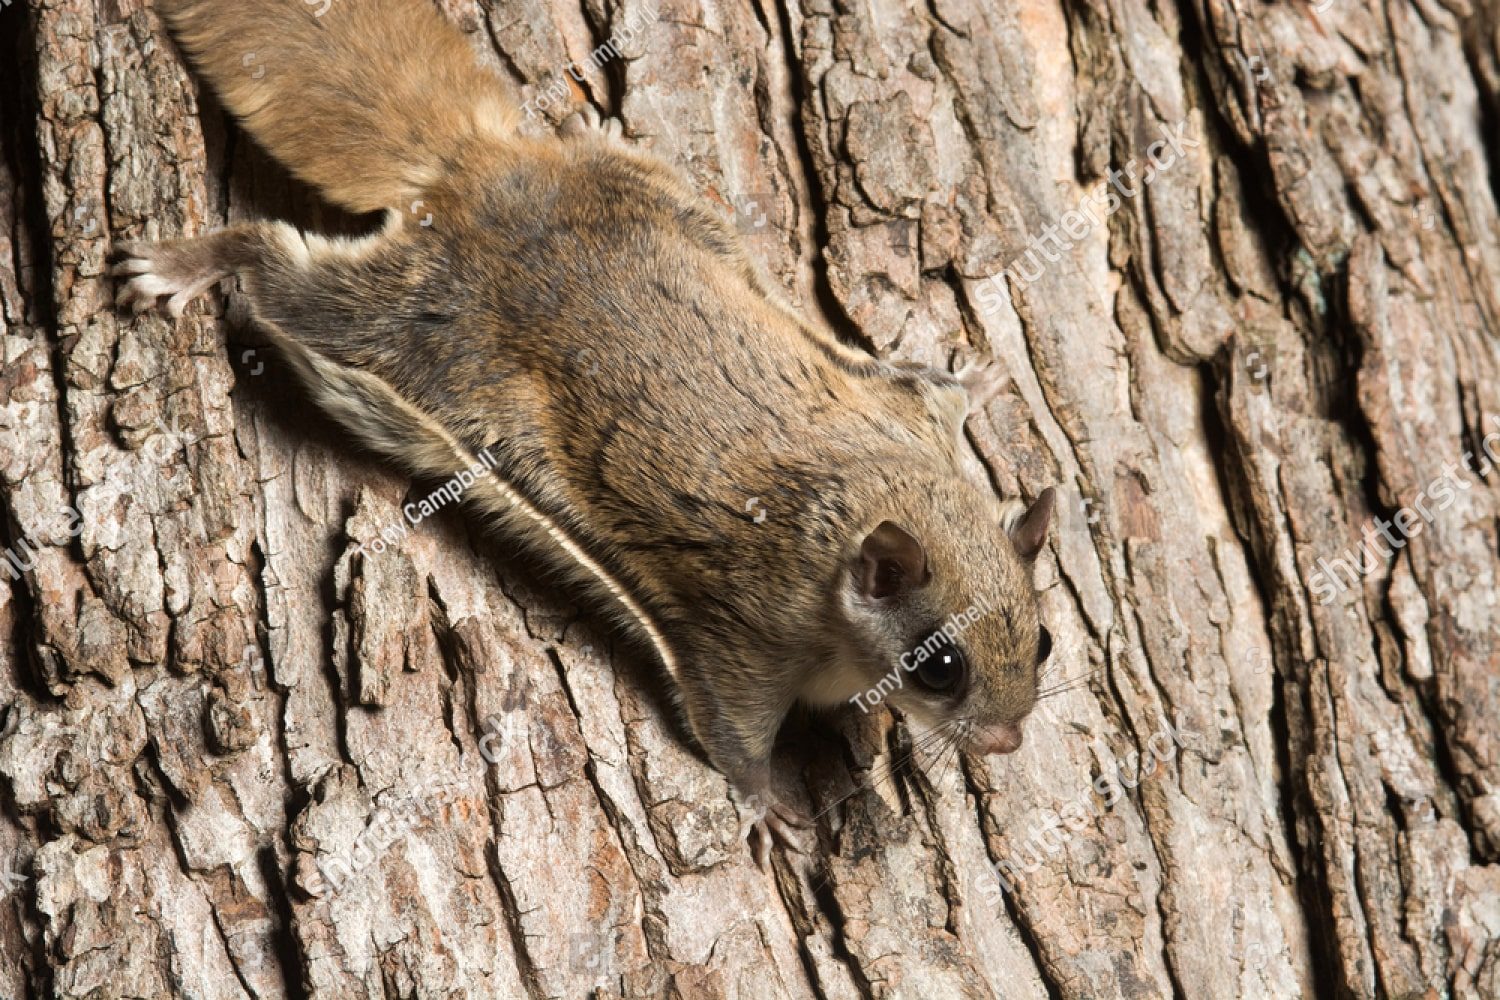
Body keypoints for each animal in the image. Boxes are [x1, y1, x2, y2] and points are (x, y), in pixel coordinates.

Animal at [114, 0, 1056, 866]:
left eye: (1043, 639)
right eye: (940, 667)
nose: (1007, 742)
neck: (862, 501)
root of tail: (472, 172)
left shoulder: (902, 417)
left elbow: (929, 391)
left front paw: (976, 382)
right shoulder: (746, 633)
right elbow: (730, 729)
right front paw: (765, 804)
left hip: (653, 194)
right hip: (403, 329)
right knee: (276, 269)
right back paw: (192, 264)